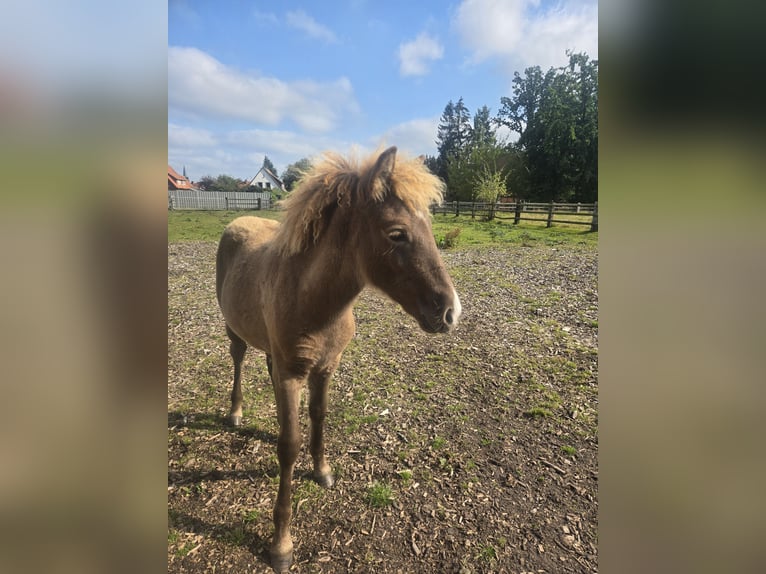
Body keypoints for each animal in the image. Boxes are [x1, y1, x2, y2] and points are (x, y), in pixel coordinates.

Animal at [216, 147, 462, 572]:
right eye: (396, 233)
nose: (450, 312)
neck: (315, 303)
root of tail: (238, 220)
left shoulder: (326, 367)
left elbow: (319, 416)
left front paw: (322, 470)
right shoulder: (291, 374)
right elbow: (289, 445)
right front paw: (281, 544)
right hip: (235, 330)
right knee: (238, 359)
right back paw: (235, 412)